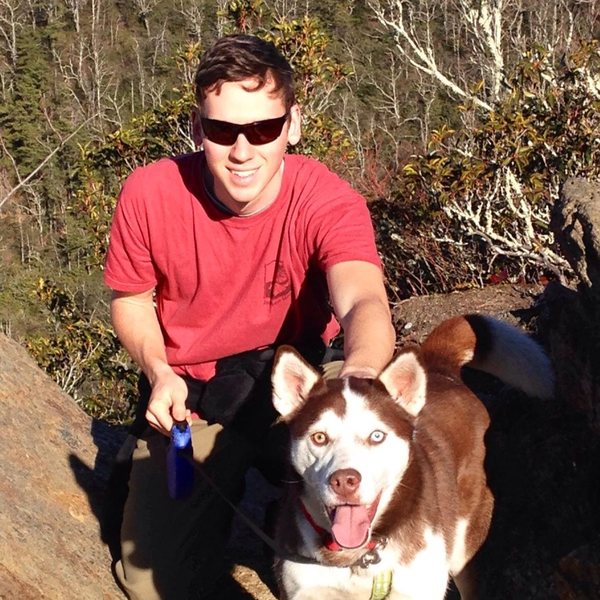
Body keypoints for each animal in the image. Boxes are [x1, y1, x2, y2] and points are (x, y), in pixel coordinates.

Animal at [272, 312, 552, 596]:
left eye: (376, 436)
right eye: (319, 437)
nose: (344, 481)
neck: (358, 558)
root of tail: (439, 369)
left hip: (463, 546)